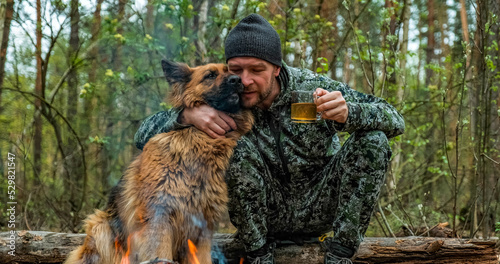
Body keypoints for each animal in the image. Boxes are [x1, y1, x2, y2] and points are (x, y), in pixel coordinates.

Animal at [64, 59, 254, 264]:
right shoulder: (158, 219)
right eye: (210, 75)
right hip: (101, 228)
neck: (199, 141)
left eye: (231, 71)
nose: (237, 80)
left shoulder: (201, 230)